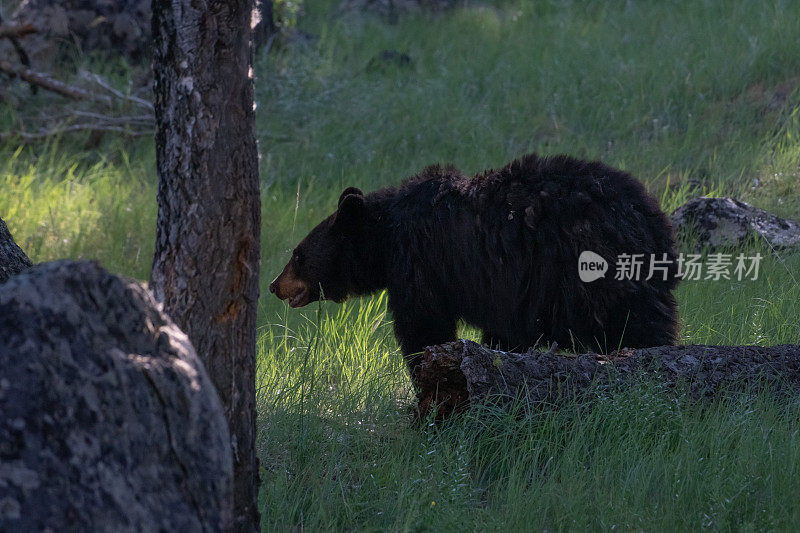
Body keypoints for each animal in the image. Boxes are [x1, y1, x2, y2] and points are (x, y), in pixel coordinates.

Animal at [272, 154, 680, 368]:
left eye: (297, 255)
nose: (274, 285)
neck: (388, 234)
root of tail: (655, 223)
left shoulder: (421, 264)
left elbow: (424, 324)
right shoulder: (511, 293)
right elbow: (506, 332)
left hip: (592, 269)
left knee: (638, 323)